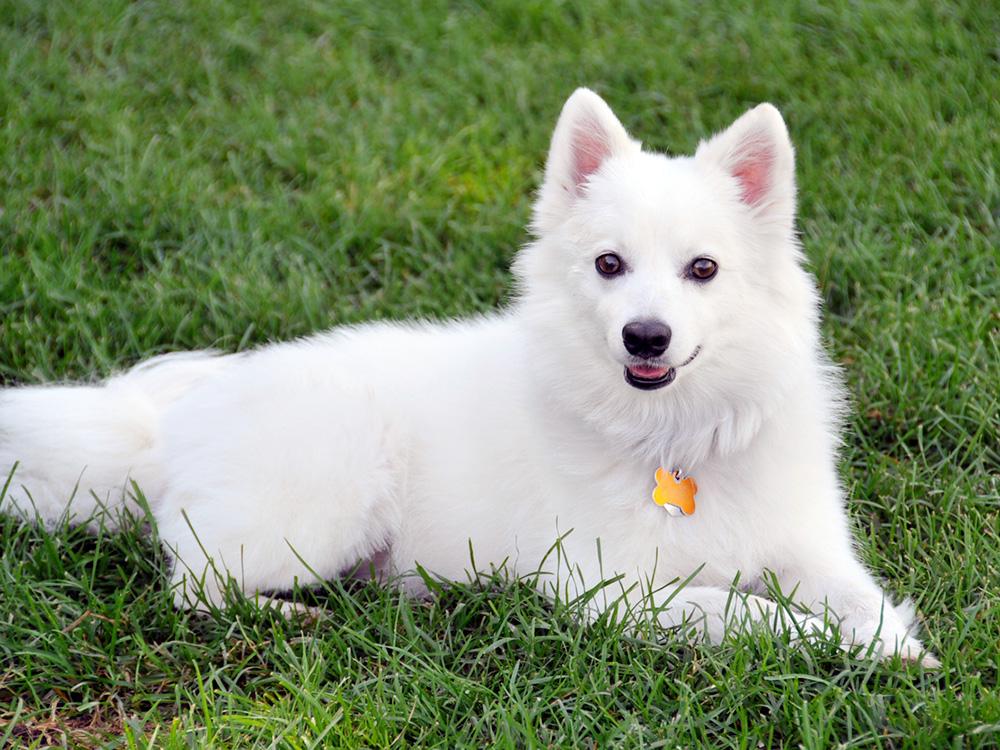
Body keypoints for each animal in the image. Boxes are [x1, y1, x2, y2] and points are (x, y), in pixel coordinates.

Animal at [1, 91, 936, 668]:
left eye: (702, 269)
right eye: (610, 264)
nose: (646, 334)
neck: (674, 437)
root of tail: (169, 429)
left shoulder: (812, 548)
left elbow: (863, 597)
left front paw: (890, 642)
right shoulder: (612, 591)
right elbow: (742, 611)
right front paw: (838, 644)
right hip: (331, 503)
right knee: (193, 587)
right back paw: (294, 615)